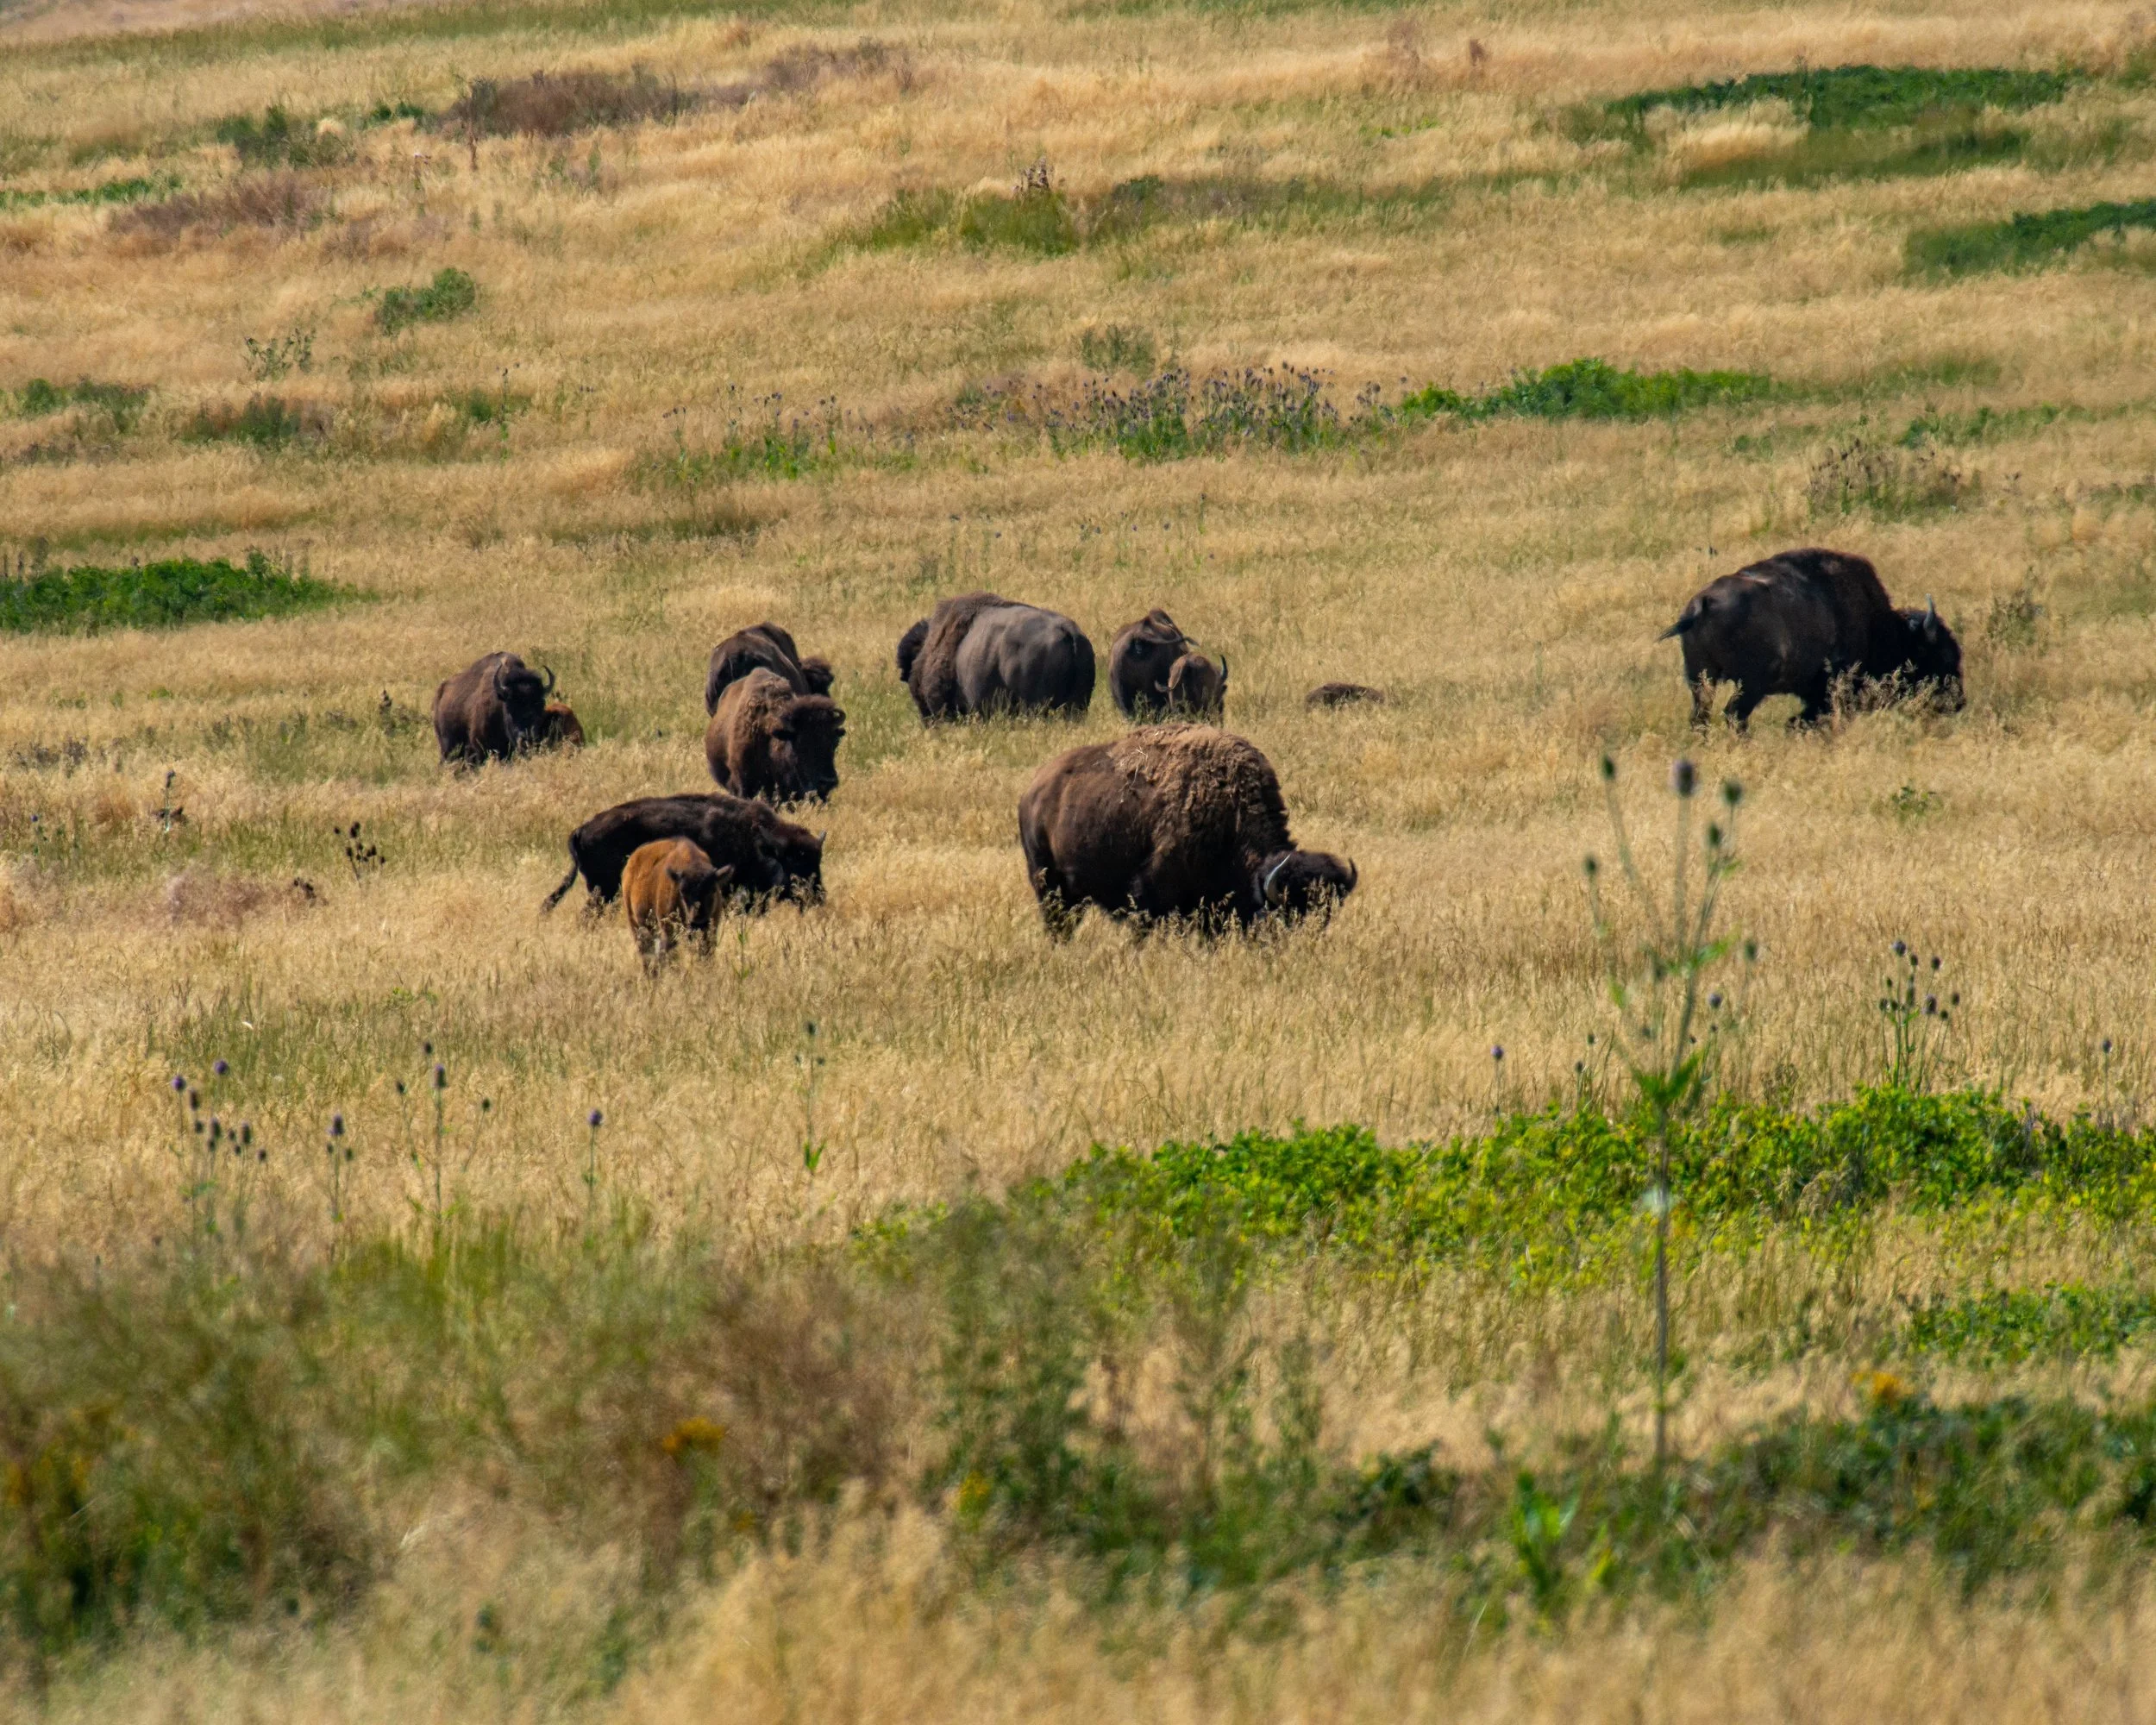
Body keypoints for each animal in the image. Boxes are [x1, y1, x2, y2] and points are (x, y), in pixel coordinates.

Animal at [540, 792, 824, 916]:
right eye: (792, 863)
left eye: (817, 861)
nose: (818, 897)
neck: (757, 841)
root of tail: (582, 830)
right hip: (604, 892)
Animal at [623, 838, 732, 971]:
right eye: (682, 891)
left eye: (712, 890)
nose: (698, 920)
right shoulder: (668, 931)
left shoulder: (711, 929)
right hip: (636, 926)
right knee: (646, 954)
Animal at [1664, 548, 1965, 729]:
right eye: (1942, 656)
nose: (1958, 703)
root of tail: (1703, 603)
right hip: (1749, 686)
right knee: (1734, 717)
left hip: (1703, 680)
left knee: (1702, 716)